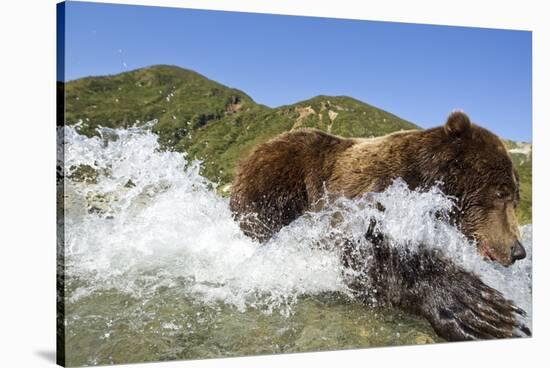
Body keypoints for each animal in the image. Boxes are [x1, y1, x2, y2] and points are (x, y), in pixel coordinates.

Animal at [229, 110, 532, 342]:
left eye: (516, 198)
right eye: (501, 192)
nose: (518, 250)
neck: (425, 180)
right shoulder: (368, 193)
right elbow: (361, 251)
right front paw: (484, 310)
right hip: (280, 174)